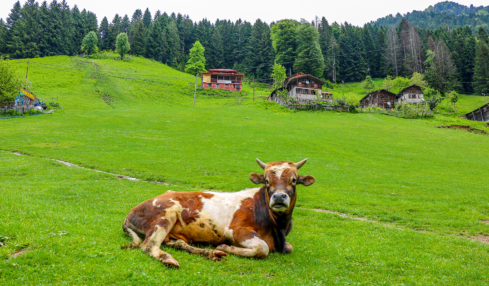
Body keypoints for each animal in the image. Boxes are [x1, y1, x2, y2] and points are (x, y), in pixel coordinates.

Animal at [120, 159, 314, 268]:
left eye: (294, 180)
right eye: (266, 181)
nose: (279, 197)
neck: (277, 228)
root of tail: (131, 212)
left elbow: (289, 247)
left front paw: (221, 249)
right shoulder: (236, 230)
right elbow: (262, 247)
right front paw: (225, 247)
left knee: (178, 244)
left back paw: (211, 253)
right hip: (166, 214)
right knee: (149, 245)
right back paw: (170, 259)